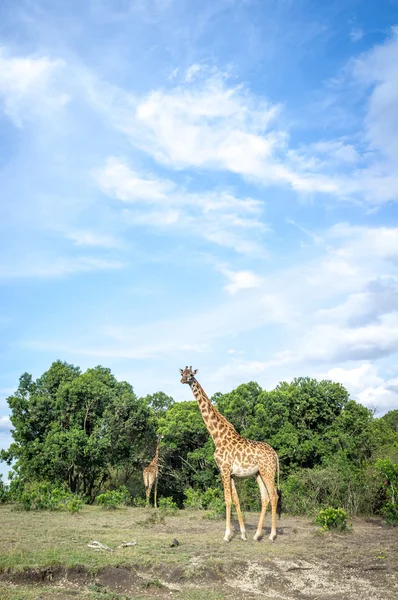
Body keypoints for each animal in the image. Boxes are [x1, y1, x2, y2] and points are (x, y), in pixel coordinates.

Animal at [180, 366, 280, 544]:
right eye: (182, 374)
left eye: (191, 375)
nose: (183, 380)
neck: (217, 436)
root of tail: (275, 454)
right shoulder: (231, 473)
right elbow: (236, 500)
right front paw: (243, 534)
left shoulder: (224, 469)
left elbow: (227, 500)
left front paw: (227, 535)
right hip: (259, 473)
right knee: (265, 498)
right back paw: (257, 535)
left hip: (268, 471)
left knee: (274, 496)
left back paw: (272, 536)